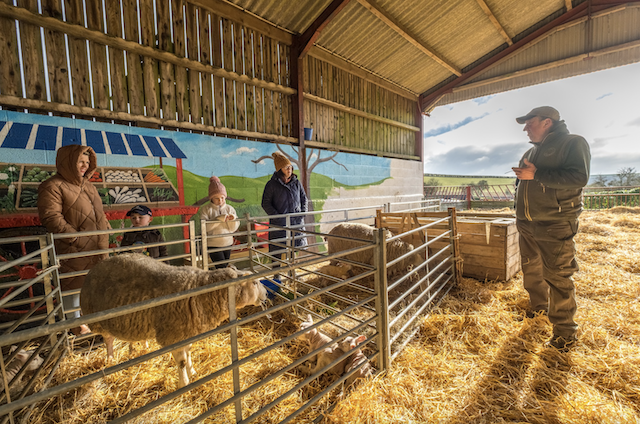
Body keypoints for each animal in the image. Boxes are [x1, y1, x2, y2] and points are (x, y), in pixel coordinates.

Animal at [80, 253, 268, 390]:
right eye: (255, 282)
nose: (266, 295)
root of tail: (93, 269)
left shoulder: (188, 332)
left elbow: (189, 352)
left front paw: (192, 371)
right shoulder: (174, 334)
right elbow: (182, 361)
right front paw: (183, 384)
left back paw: (140, 347)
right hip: (99, 321)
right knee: (109, 340)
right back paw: (111, 360)